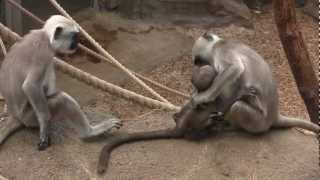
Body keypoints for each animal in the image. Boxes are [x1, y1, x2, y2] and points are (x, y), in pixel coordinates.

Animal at [0, 15, 122, 150]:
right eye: (74, 36)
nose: (77, 43)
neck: (45, 36)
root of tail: (15, 116)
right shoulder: (43, 51)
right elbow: (30, 86)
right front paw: (45, 126)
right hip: (29, 117)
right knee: (61, 99)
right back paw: (89, 133)